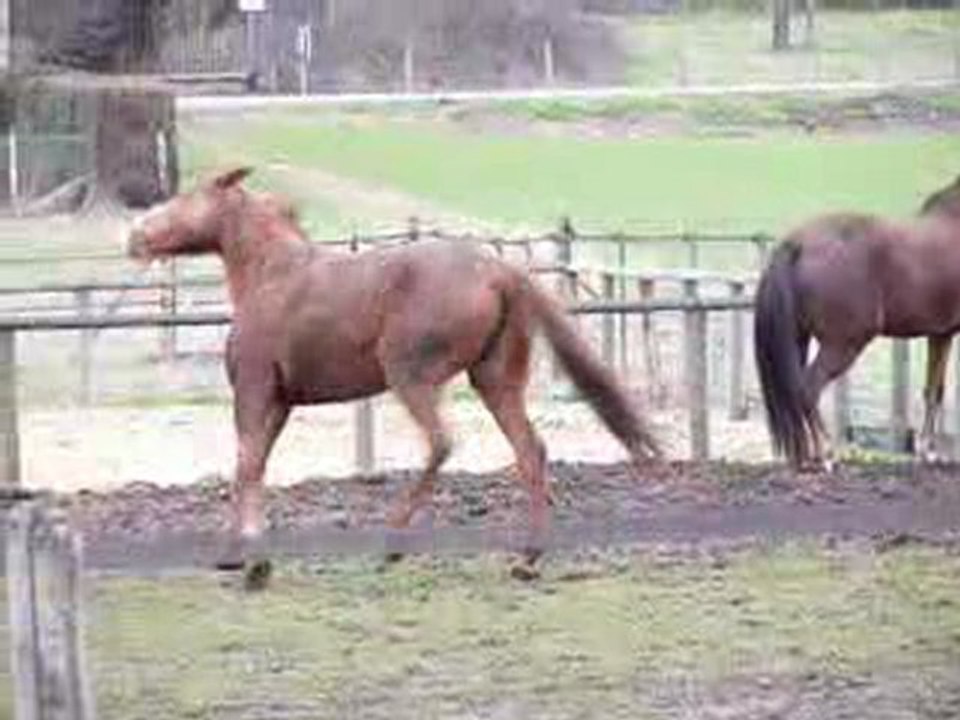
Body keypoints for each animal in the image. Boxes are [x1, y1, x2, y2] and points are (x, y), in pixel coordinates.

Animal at [126, 167, 661, 584]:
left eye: (185, 196)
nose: (135, 237)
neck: (271, 276)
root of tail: (501, 272)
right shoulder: (281, 400)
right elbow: (253, 463)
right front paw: (241, 555)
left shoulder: (256, 390)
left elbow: (247, 463)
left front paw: (249, 560)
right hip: (494, 379)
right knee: (529, 451)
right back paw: (526, 559)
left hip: (411, 374)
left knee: (442, 443)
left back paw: (393, 542)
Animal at [754, 174, 960, 470]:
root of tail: (798, 243)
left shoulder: (941, 333)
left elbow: (934, 390)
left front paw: (927, 451)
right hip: (842, 345)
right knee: (809, 387)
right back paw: (828, 454)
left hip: (799, 340)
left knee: (796, 389)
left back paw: (811, 456)